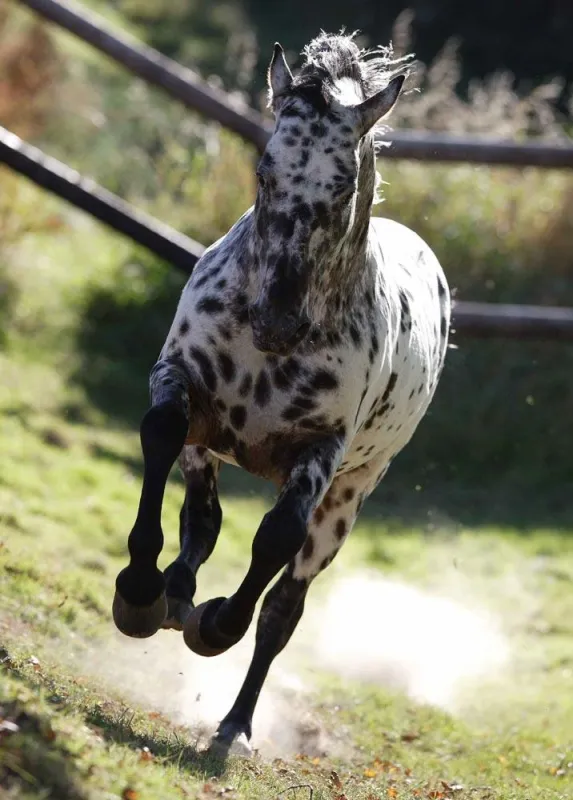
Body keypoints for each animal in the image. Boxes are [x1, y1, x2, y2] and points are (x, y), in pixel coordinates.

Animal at [112, 31, 450, 756]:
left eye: (343, 184)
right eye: (264, 172)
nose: (276, 321)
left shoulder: (320, 453)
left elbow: (276, 541)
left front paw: (215, 626)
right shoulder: (181, 385)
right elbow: (160, 439)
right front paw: (140, 593)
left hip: (348, 499)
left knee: (283, 608)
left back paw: (234, 723)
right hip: (211, 447)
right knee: (204, 519)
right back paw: (172, 594)